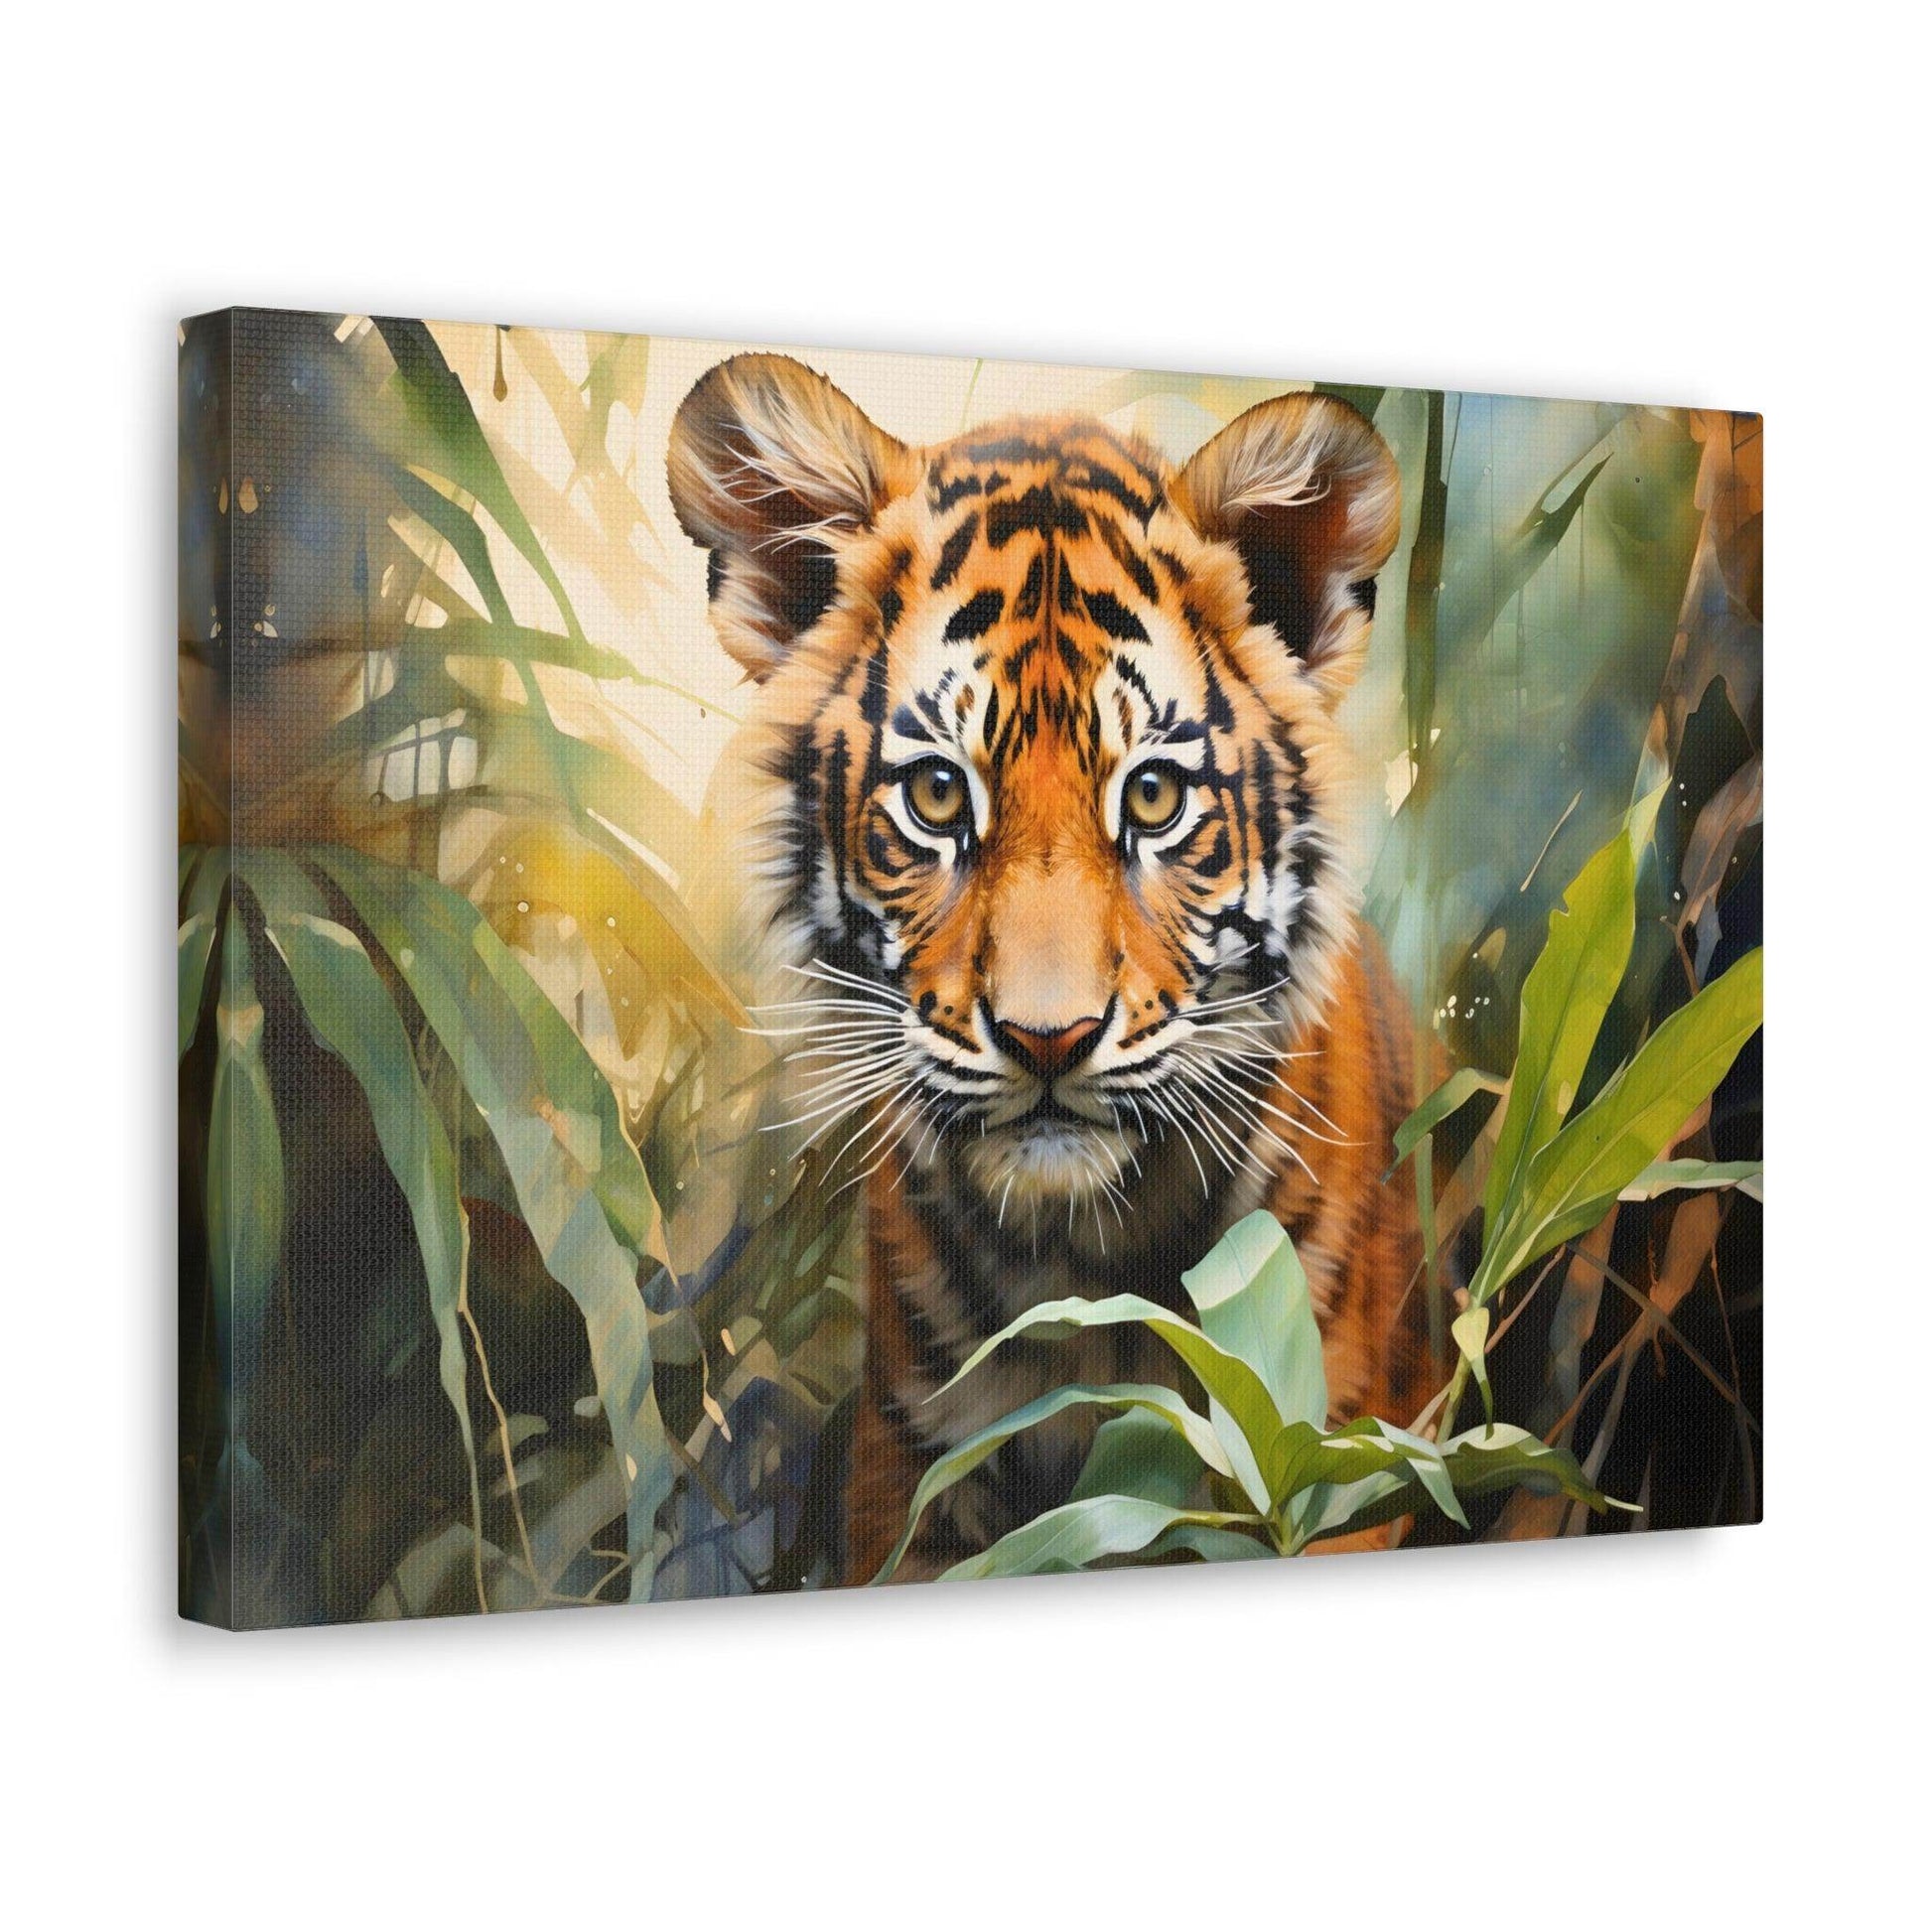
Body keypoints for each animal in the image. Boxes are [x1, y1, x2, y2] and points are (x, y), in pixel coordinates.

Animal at [668, 353, 1424, 1583]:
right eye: (937, 795)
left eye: (1152, 796)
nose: (1046, 1039)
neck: (1084, 1267)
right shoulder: (913, 1475)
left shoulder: (1335, 1468)